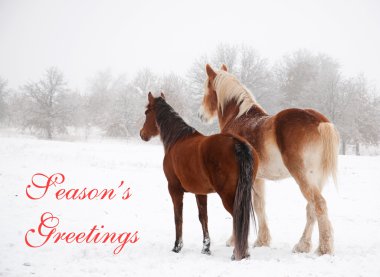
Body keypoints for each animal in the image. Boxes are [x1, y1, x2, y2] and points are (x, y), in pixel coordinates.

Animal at [141, 92, 260, 258]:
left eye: (147, 113)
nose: (142, 134)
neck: (177, 139)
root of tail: (237, 143)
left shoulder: (174, 189)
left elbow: (178, 217)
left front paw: (177, 247)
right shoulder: (200, 192)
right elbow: (203, 218)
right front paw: (206, 248)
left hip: (229, 196)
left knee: (238, 218)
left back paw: (237, 253)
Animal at [199, 64, 338, 254]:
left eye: (207, 88)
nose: (201, 115)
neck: (239, 118)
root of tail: (319, 121)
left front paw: (234, 240)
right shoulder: (258, 178)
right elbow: (260, 206)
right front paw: (262, 241)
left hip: (303, 176)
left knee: (319, 205)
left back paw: (323, 248)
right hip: (316, 179)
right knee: (311, 209)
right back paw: (303, 245)